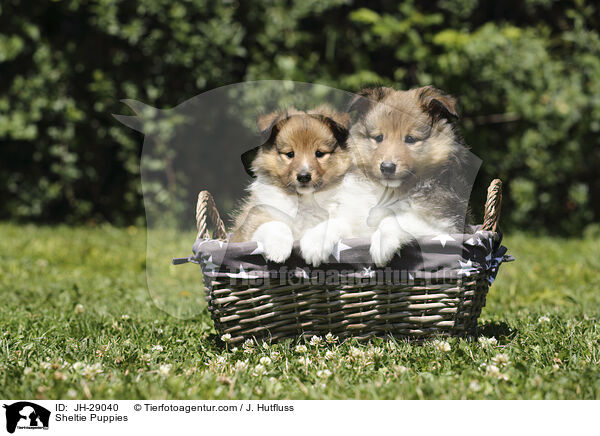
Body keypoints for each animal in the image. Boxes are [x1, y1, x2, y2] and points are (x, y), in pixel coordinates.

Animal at [230, 105, 352, 262]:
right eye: (290, 154)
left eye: (319, 153)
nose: (304, 177)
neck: (303, 201)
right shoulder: (252, 224)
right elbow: (274, 224)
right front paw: (277, 249)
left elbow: (331, 224)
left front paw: (315, 247)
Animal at [304, 85, 474, 266]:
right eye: (379, 137)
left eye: (410, 139)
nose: (387, 167)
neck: (390, 191)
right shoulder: (359, 222)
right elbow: (339, 221)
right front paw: (316, 240)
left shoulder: (444, 224)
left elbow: (397, 218)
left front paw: (381, 242)